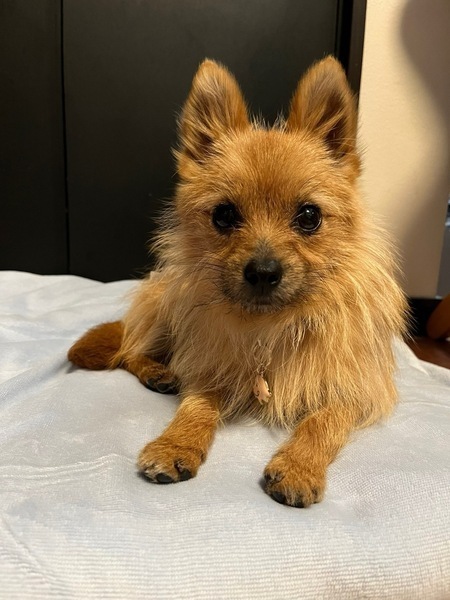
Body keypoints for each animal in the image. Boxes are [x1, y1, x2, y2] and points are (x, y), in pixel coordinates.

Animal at [68, 57, 407, 507]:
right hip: (165, 311)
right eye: (224, 215)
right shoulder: (210, 370)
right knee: (129, 350)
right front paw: (176, 444)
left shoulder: (352, 389)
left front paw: (299, 466)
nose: (263, 272)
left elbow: (321, 423)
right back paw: (159, 372)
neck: (269, 328)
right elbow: (195, 406)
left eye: (309, 216)